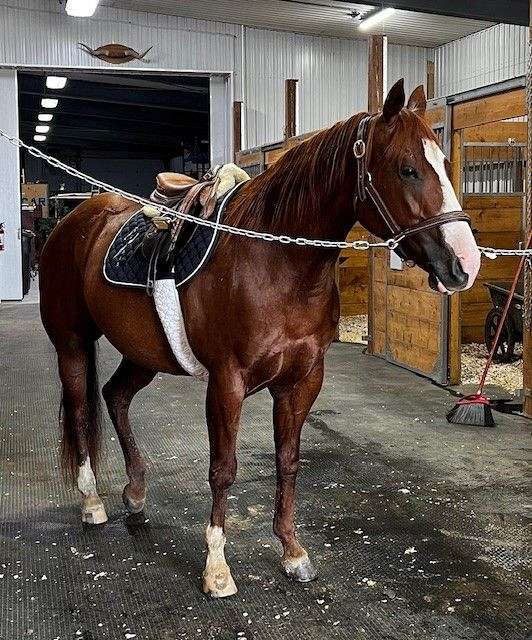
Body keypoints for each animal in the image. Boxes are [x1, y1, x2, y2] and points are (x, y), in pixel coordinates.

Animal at [39, 79, 481, 598]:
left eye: (445, 165)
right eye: (407, 168)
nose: (465, 264)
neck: (273, 259)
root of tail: (75, 219)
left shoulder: (302, 380)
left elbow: (288, 461)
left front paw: (292, 551)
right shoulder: (226, 382)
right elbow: (223, 468)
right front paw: (216, 568)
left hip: (142, 351)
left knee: (115, 396)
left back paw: (136, 491)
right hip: (71, 343)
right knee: (81, 411)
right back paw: (92, 503)